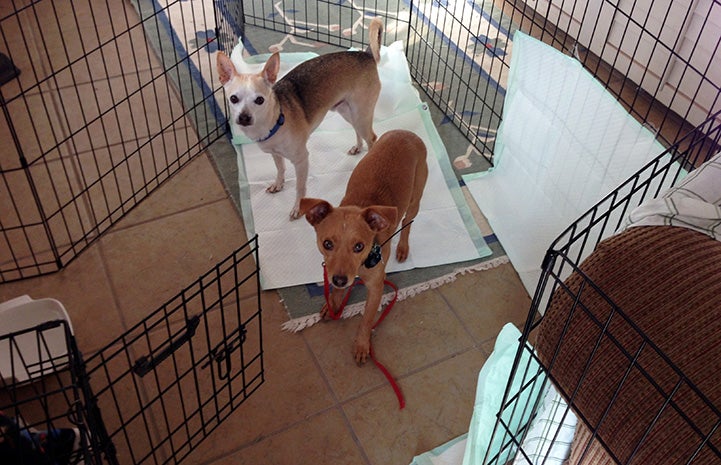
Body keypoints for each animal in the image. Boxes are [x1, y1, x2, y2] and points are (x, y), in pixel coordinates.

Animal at [217, 19, 386, 218]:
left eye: (259, 100)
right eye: (233, 99)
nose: (244, 117)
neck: (275, 120)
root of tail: (366, 54)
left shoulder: (301, 160)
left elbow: (300, 186)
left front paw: (298, 207)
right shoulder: (275, 154)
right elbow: (280, 169)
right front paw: (278, 184)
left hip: (361, 113)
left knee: (372, 138)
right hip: (348, 111)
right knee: (358, 132)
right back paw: (357, 147)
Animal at [300, 129, 428, 364]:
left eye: (359, 246)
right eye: (327, 244)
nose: (340, 279)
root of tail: (406, 132)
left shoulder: (376, 288)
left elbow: (367, 320)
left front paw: (361, 345)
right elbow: (337, 291)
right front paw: (333, 304)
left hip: (415, 199)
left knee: (407, 223)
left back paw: (403, 247)